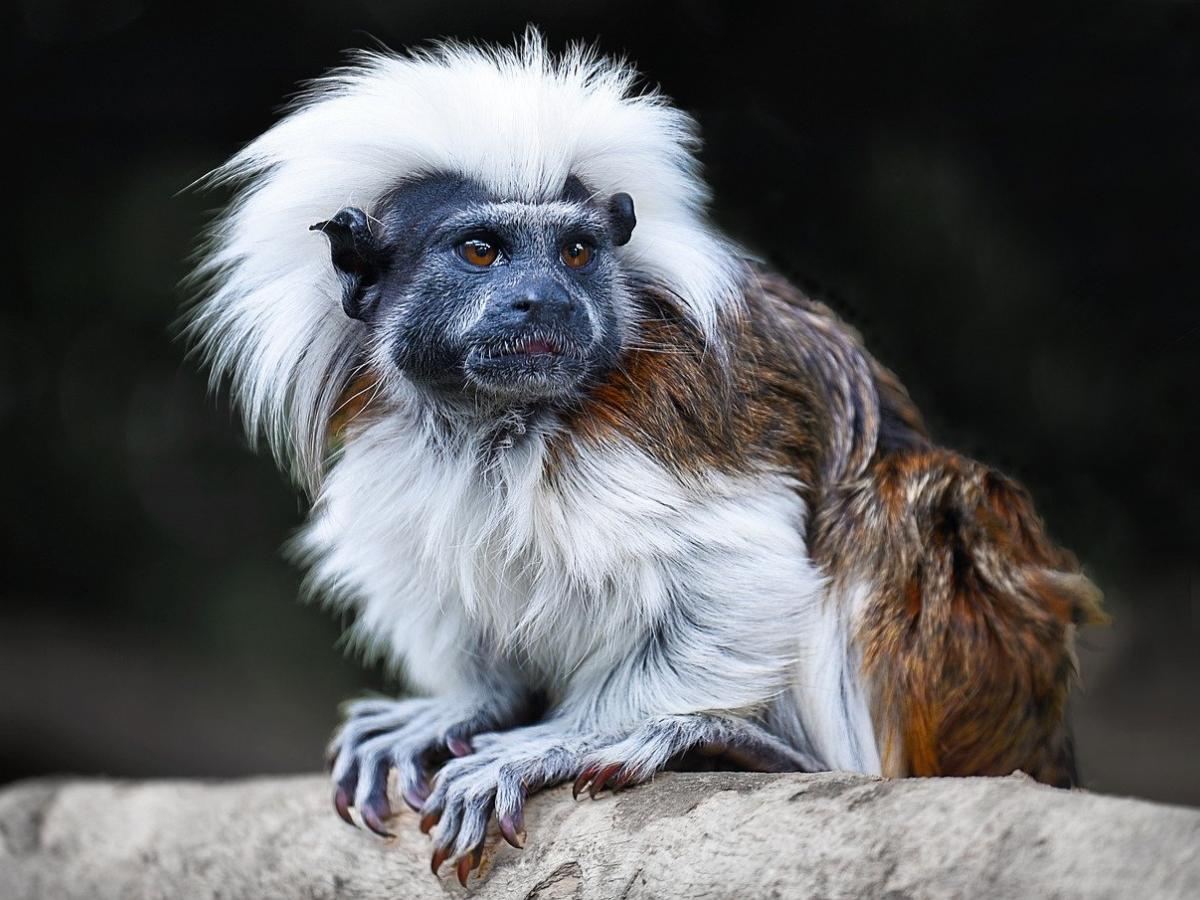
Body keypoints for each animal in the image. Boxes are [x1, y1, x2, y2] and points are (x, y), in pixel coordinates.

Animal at [188, 32, 1105, 885]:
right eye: (481, 251)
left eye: (576, 254)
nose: (544, 301)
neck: (501, 424)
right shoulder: (397, 436)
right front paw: (464, 706)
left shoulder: (667, 417)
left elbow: (741, 572)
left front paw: (557, 741)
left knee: (914, 502)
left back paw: (746, 746)